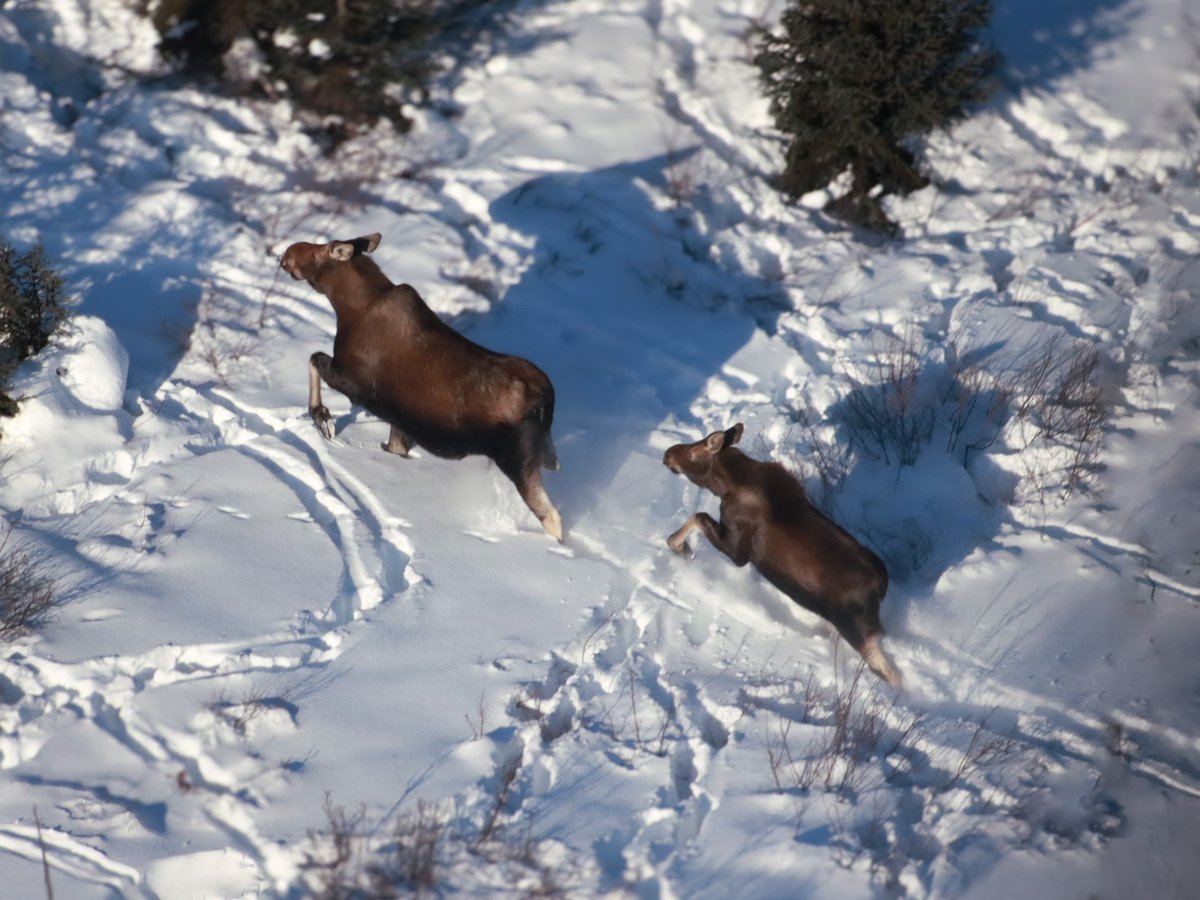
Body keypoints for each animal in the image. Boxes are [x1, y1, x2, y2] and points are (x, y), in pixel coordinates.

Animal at [280, 232, 561, 542]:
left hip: (517, 460)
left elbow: (314, 359)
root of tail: (546, 401)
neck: (348, 306)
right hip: (543, 455)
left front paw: (323, 418)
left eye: (324, 251)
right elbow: (393, 448)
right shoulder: (400, 421)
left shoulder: (352, 381)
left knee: (552, 518)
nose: (287, 253)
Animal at [667, 422, 902, 681]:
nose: (668, 453)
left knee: (887, 671)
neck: (725, 485)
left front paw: (678, 546)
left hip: (855, 627)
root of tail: (880, 586)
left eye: (692, 452)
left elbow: (697, 516)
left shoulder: (738, 550)